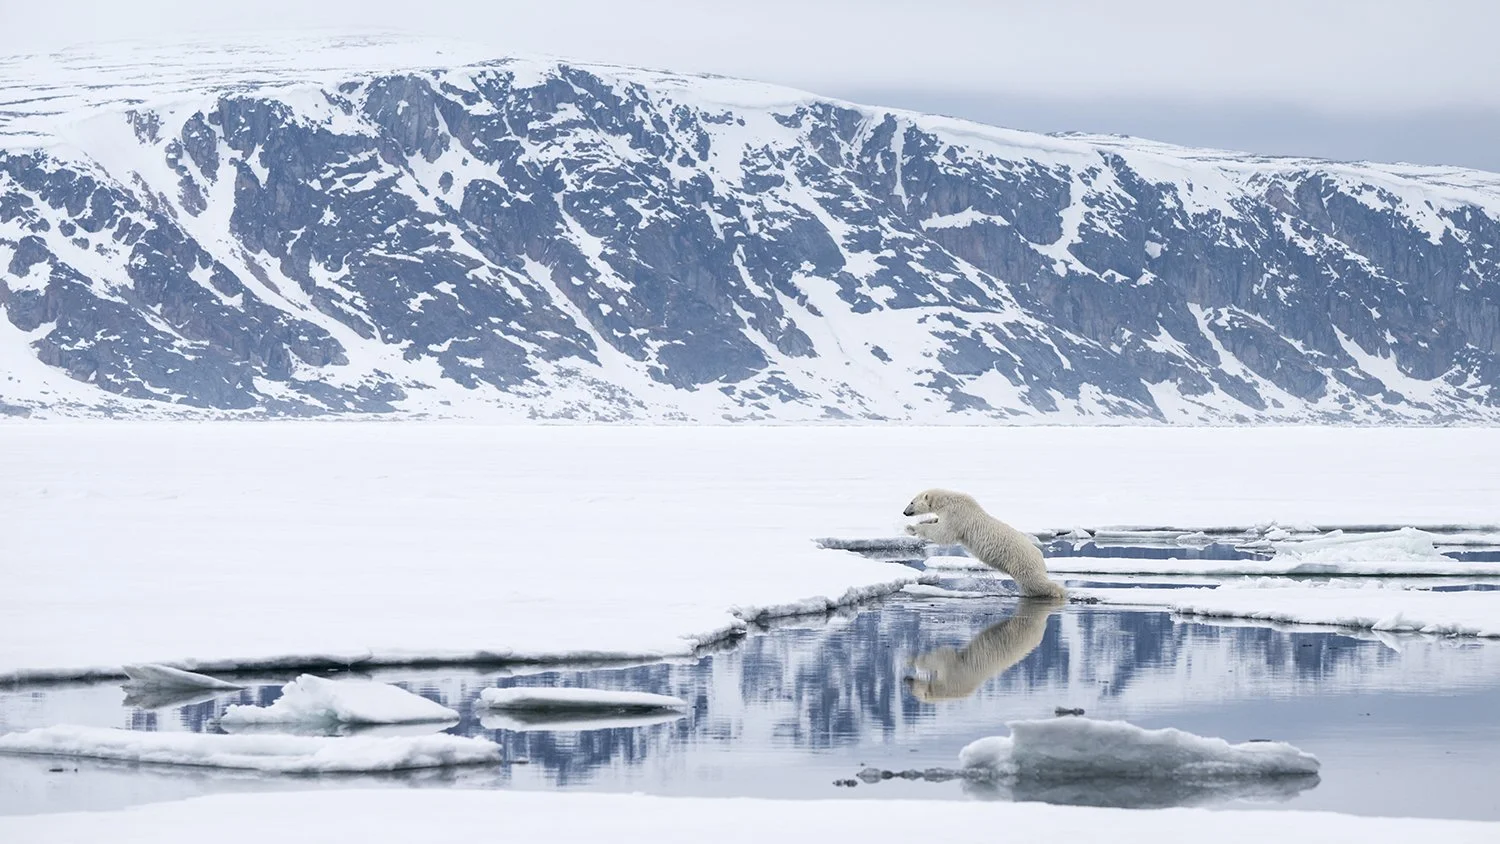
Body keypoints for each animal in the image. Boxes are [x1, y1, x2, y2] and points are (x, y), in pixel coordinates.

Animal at [903, 488, 1067, 599]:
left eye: (911, 502)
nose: (904, 512)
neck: (949, 500)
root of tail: (1039, 555)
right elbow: (936, 522)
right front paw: (917, 524)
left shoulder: (956, 515)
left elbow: (943, 533)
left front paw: (912, 528)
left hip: (1022, 563)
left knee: (1036, 583)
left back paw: (1059, 592)